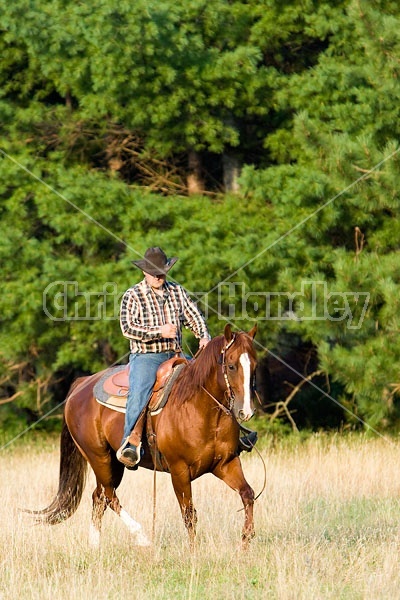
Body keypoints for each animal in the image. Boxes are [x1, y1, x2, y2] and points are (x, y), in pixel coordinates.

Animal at [30, 324, 256, 548]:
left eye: (254, 365)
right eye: (231, 366)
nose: (245, 412)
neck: (200, 409)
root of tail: (81, 385)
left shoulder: (226, 463)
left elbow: (248, 494)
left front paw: (246, 539)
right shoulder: (179, 471)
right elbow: (189, 515)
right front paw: (193, 552)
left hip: (114, 464)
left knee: (99, 496)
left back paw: (95, 546)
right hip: (99, 458)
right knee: (109, 495)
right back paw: (142, 537)